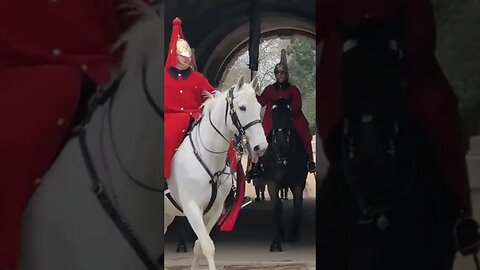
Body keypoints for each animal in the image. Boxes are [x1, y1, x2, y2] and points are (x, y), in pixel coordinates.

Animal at [165, 74, 268, 270]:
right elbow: (206, 245)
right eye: (242, 107)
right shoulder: (192, 208)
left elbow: (200, 246)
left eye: (259, 107)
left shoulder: (214, 210)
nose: (261, 147)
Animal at [256, 96, 310, 251]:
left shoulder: (298, 183)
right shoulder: (272, 183)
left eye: (290, 116)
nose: (282, 145)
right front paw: (276, 242)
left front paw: (293, 234)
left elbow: (297, 206)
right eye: (273, 116)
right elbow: (276, 208)